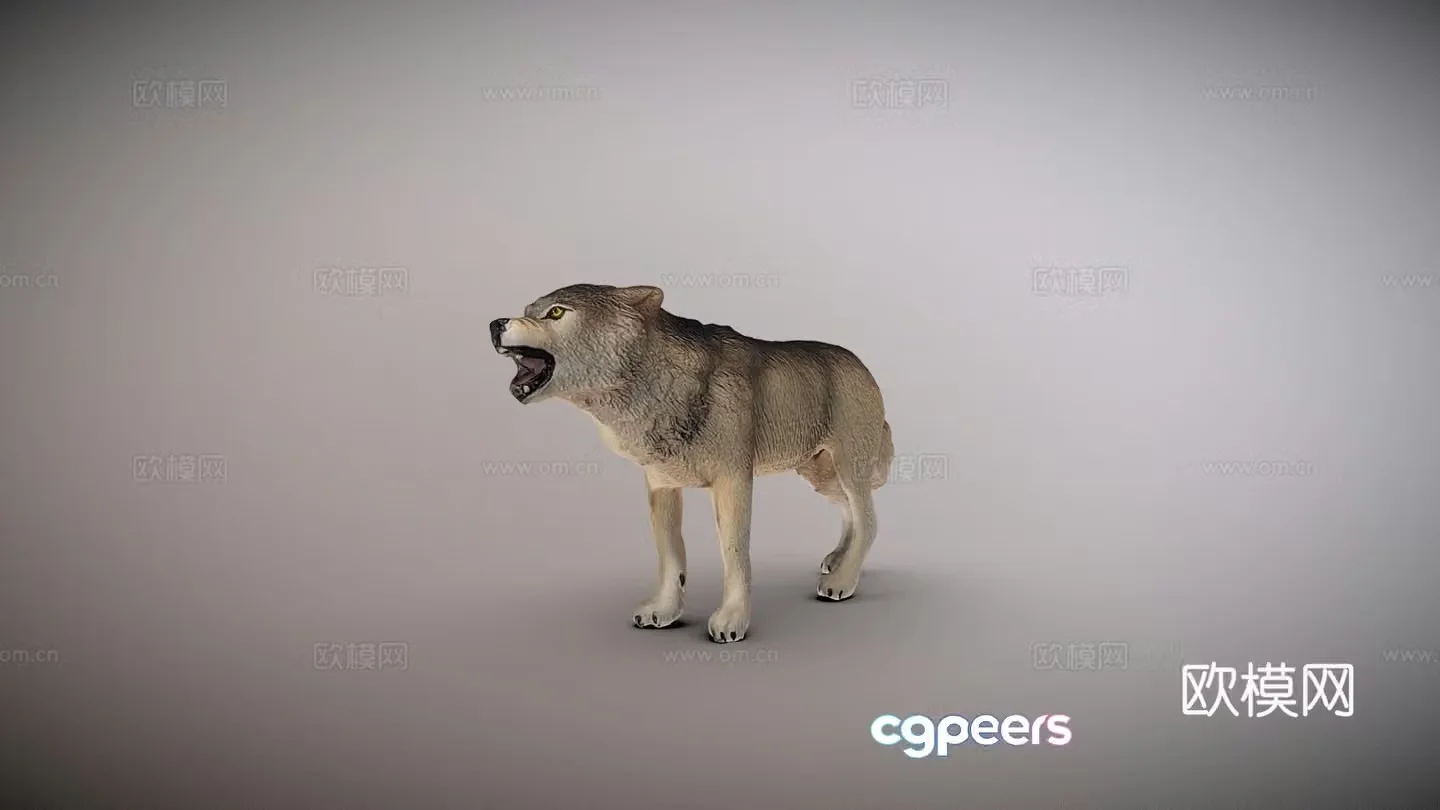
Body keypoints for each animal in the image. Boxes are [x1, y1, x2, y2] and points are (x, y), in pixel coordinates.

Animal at [489, 284, 893, 643]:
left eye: (556, 312)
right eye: (528, 310)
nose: (495, 324)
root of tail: (861, 365)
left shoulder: (733, 482)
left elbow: (734, 554)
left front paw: (732, 620)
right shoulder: (662, 486)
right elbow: (671, 557)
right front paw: (665, 611)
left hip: (849, 467)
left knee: (869, 520)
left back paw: (842, 581)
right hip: (818, 474)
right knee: (849, 512)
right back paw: (837, 560)